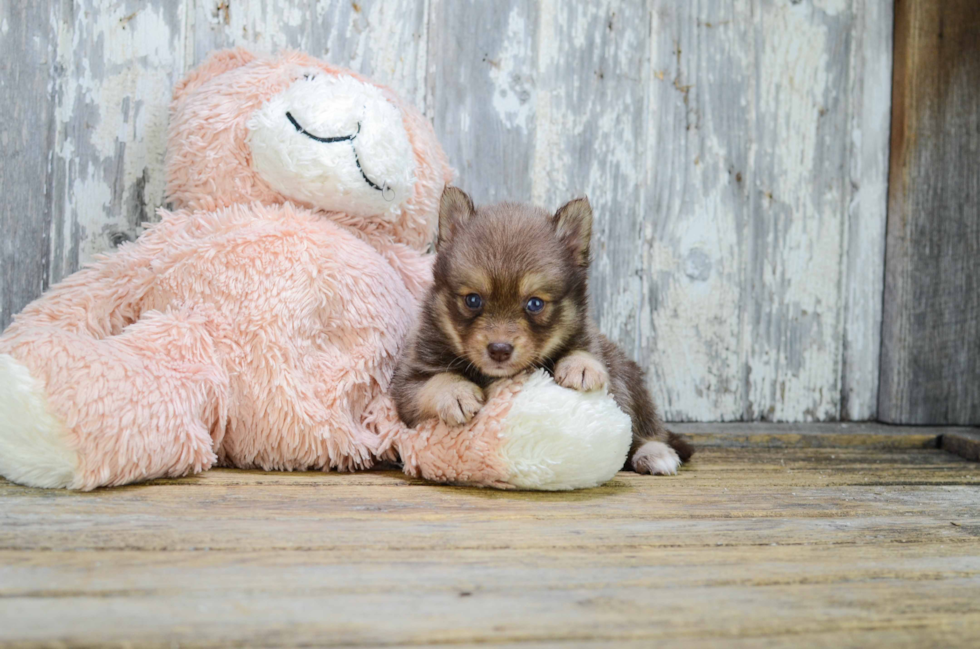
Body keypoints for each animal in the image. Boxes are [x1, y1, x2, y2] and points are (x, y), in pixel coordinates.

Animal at [392, 185, 696, 474]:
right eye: (473, 300)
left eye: (535, 303)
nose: (499, 350)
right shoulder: (408, 384)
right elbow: (436, 382)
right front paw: (456, 393)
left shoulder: (591, 347)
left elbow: (581, 350)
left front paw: (580, 366)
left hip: (629, 380)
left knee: (645, 428)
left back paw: (655, 453)